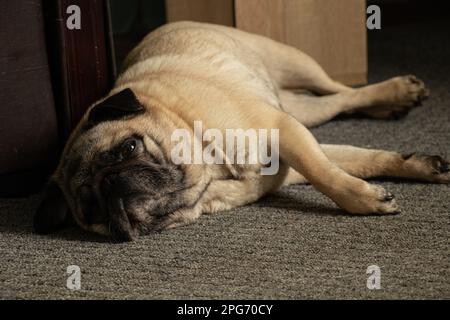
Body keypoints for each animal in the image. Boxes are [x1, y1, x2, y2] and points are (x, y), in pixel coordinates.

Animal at [33, 21, 448, 241]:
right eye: (92, 211)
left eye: (128, 149)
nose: (111, 184)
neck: (209, 174)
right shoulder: (292, 155)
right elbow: (360, 160)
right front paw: (415, 166)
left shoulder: (283, 130)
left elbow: (327, 174)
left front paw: (362, 200)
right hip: (305, 111)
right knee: (338, 102)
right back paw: (390, 104)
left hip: (294, 63)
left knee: (342, 88)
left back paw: (396, 93)